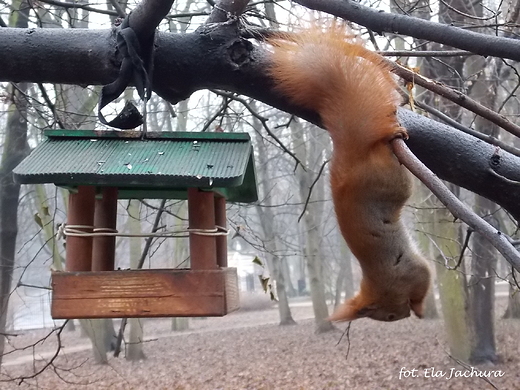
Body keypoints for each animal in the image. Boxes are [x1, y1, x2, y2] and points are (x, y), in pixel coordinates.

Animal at [268, 25, 430, 322]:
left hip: (391, 180)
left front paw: (422, 310)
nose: (403, 316)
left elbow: (424, 281)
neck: (381, 283)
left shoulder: (410, 271)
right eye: (389, 317)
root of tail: (352, 151)